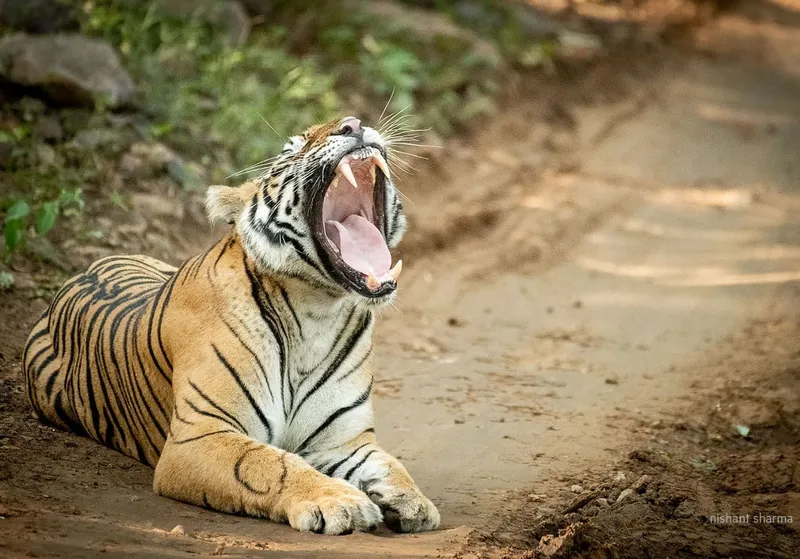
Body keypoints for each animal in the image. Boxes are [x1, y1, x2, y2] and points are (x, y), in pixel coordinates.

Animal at [21, 116, 440, 536]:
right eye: (292, 149)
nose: (352, 124)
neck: (317, 312)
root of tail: (87, 267)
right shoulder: (199, 435)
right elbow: (269, 463)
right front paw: (342, 502)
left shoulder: (340, 441)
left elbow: (388, 463)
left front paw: (414, 502)